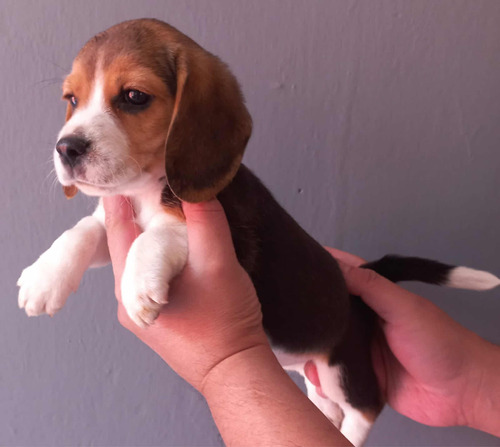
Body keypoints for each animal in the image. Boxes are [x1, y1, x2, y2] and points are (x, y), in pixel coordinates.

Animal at [16, 19, 500, 446]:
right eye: (72, 99)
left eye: (134, 96)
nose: (66, 148)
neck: (144, 190)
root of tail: (356, 297)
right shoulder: (114, 219)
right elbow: (81, 231)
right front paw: (43, 279)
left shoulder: (224, 227)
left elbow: (160, 234)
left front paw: (137, 284)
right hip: (316, 376)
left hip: (342, 367)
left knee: (365, 407)